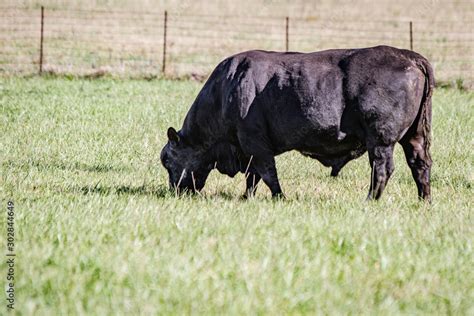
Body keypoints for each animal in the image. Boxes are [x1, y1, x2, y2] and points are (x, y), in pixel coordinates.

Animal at [161, 45, 436, 200]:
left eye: (167, 161)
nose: (175, 191)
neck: (227, 90)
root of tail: (408, 56)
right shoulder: (250, 150)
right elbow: (253, 177)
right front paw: (247, 197)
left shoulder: (255, 145)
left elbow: (267, 174)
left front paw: (279, 197)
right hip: (414, 137)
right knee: (420, 165)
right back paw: (424, 200)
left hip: (380, 141)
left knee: (382, 170)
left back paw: (370, 199)